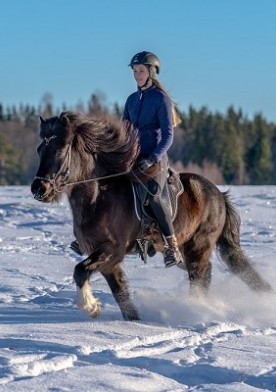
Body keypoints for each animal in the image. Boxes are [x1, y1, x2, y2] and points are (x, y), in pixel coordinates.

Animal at [31, 110, 272, 322]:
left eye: (60, 150)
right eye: (40, 150)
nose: (39, 189)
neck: (99, 197)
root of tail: (219, 195)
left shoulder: (113, 251)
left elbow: (80, 271)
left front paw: (91, 307)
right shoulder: (107, 260)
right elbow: (121, 295)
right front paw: (127, 319)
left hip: (198, 246)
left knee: (200, 276)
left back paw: (195, 309)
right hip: (185, 251)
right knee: (205, 273)